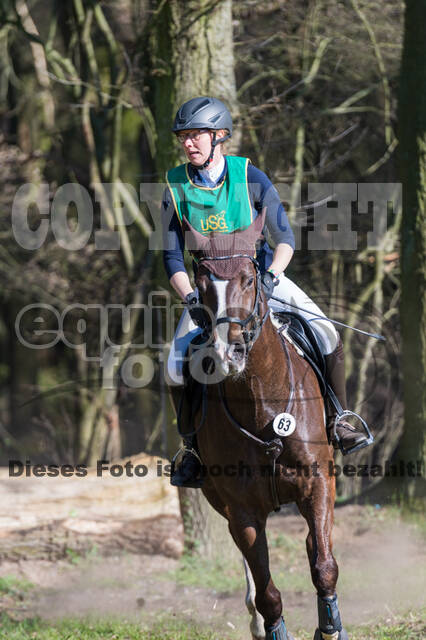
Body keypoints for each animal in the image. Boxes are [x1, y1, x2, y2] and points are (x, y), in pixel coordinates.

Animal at [170, 222, 350, 636]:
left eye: (250, 279)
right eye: (200, 286)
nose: (228, 354)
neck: (261, 401)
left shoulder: (319, 483)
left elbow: (324, 566)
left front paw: (330, 628)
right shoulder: (242, 510)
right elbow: (268, 591)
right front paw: (272, 627)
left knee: (313, 547)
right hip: (222, 504)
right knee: (251, 567)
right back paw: (255, 620)